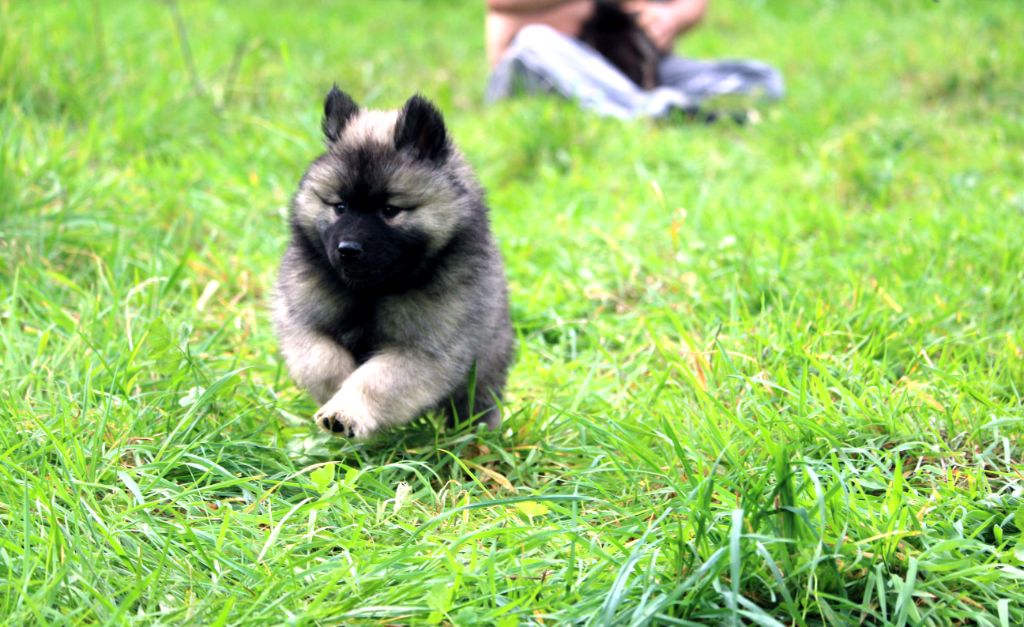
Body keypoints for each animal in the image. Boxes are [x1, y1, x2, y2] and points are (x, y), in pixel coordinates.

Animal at [272, 87, 512, 440]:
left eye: (389, 210)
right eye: (340, 207)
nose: (347, 249)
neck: (371, 292)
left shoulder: (422, 349)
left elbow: (375, 380)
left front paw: (346, 410)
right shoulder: (302, 323)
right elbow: (323, 361)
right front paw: (336, 391)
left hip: (484, 367)